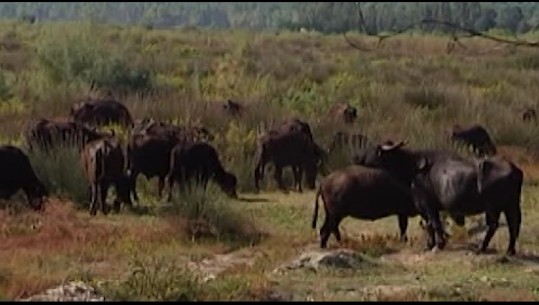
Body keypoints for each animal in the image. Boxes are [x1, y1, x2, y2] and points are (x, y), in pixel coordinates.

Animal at [354, 141, 524, 255]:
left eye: (374, 149)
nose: (357, 157)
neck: (414, 168)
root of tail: (515, 169)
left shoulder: (428, 205)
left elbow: (434, 224)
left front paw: (439, 245)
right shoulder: (424, 209)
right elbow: (429, 225)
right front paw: (429, 245)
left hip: (493, 207)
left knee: (494, 225)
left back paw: (481, 248)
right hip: (511, 205)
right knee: (514, 225)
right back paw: (510, 250)